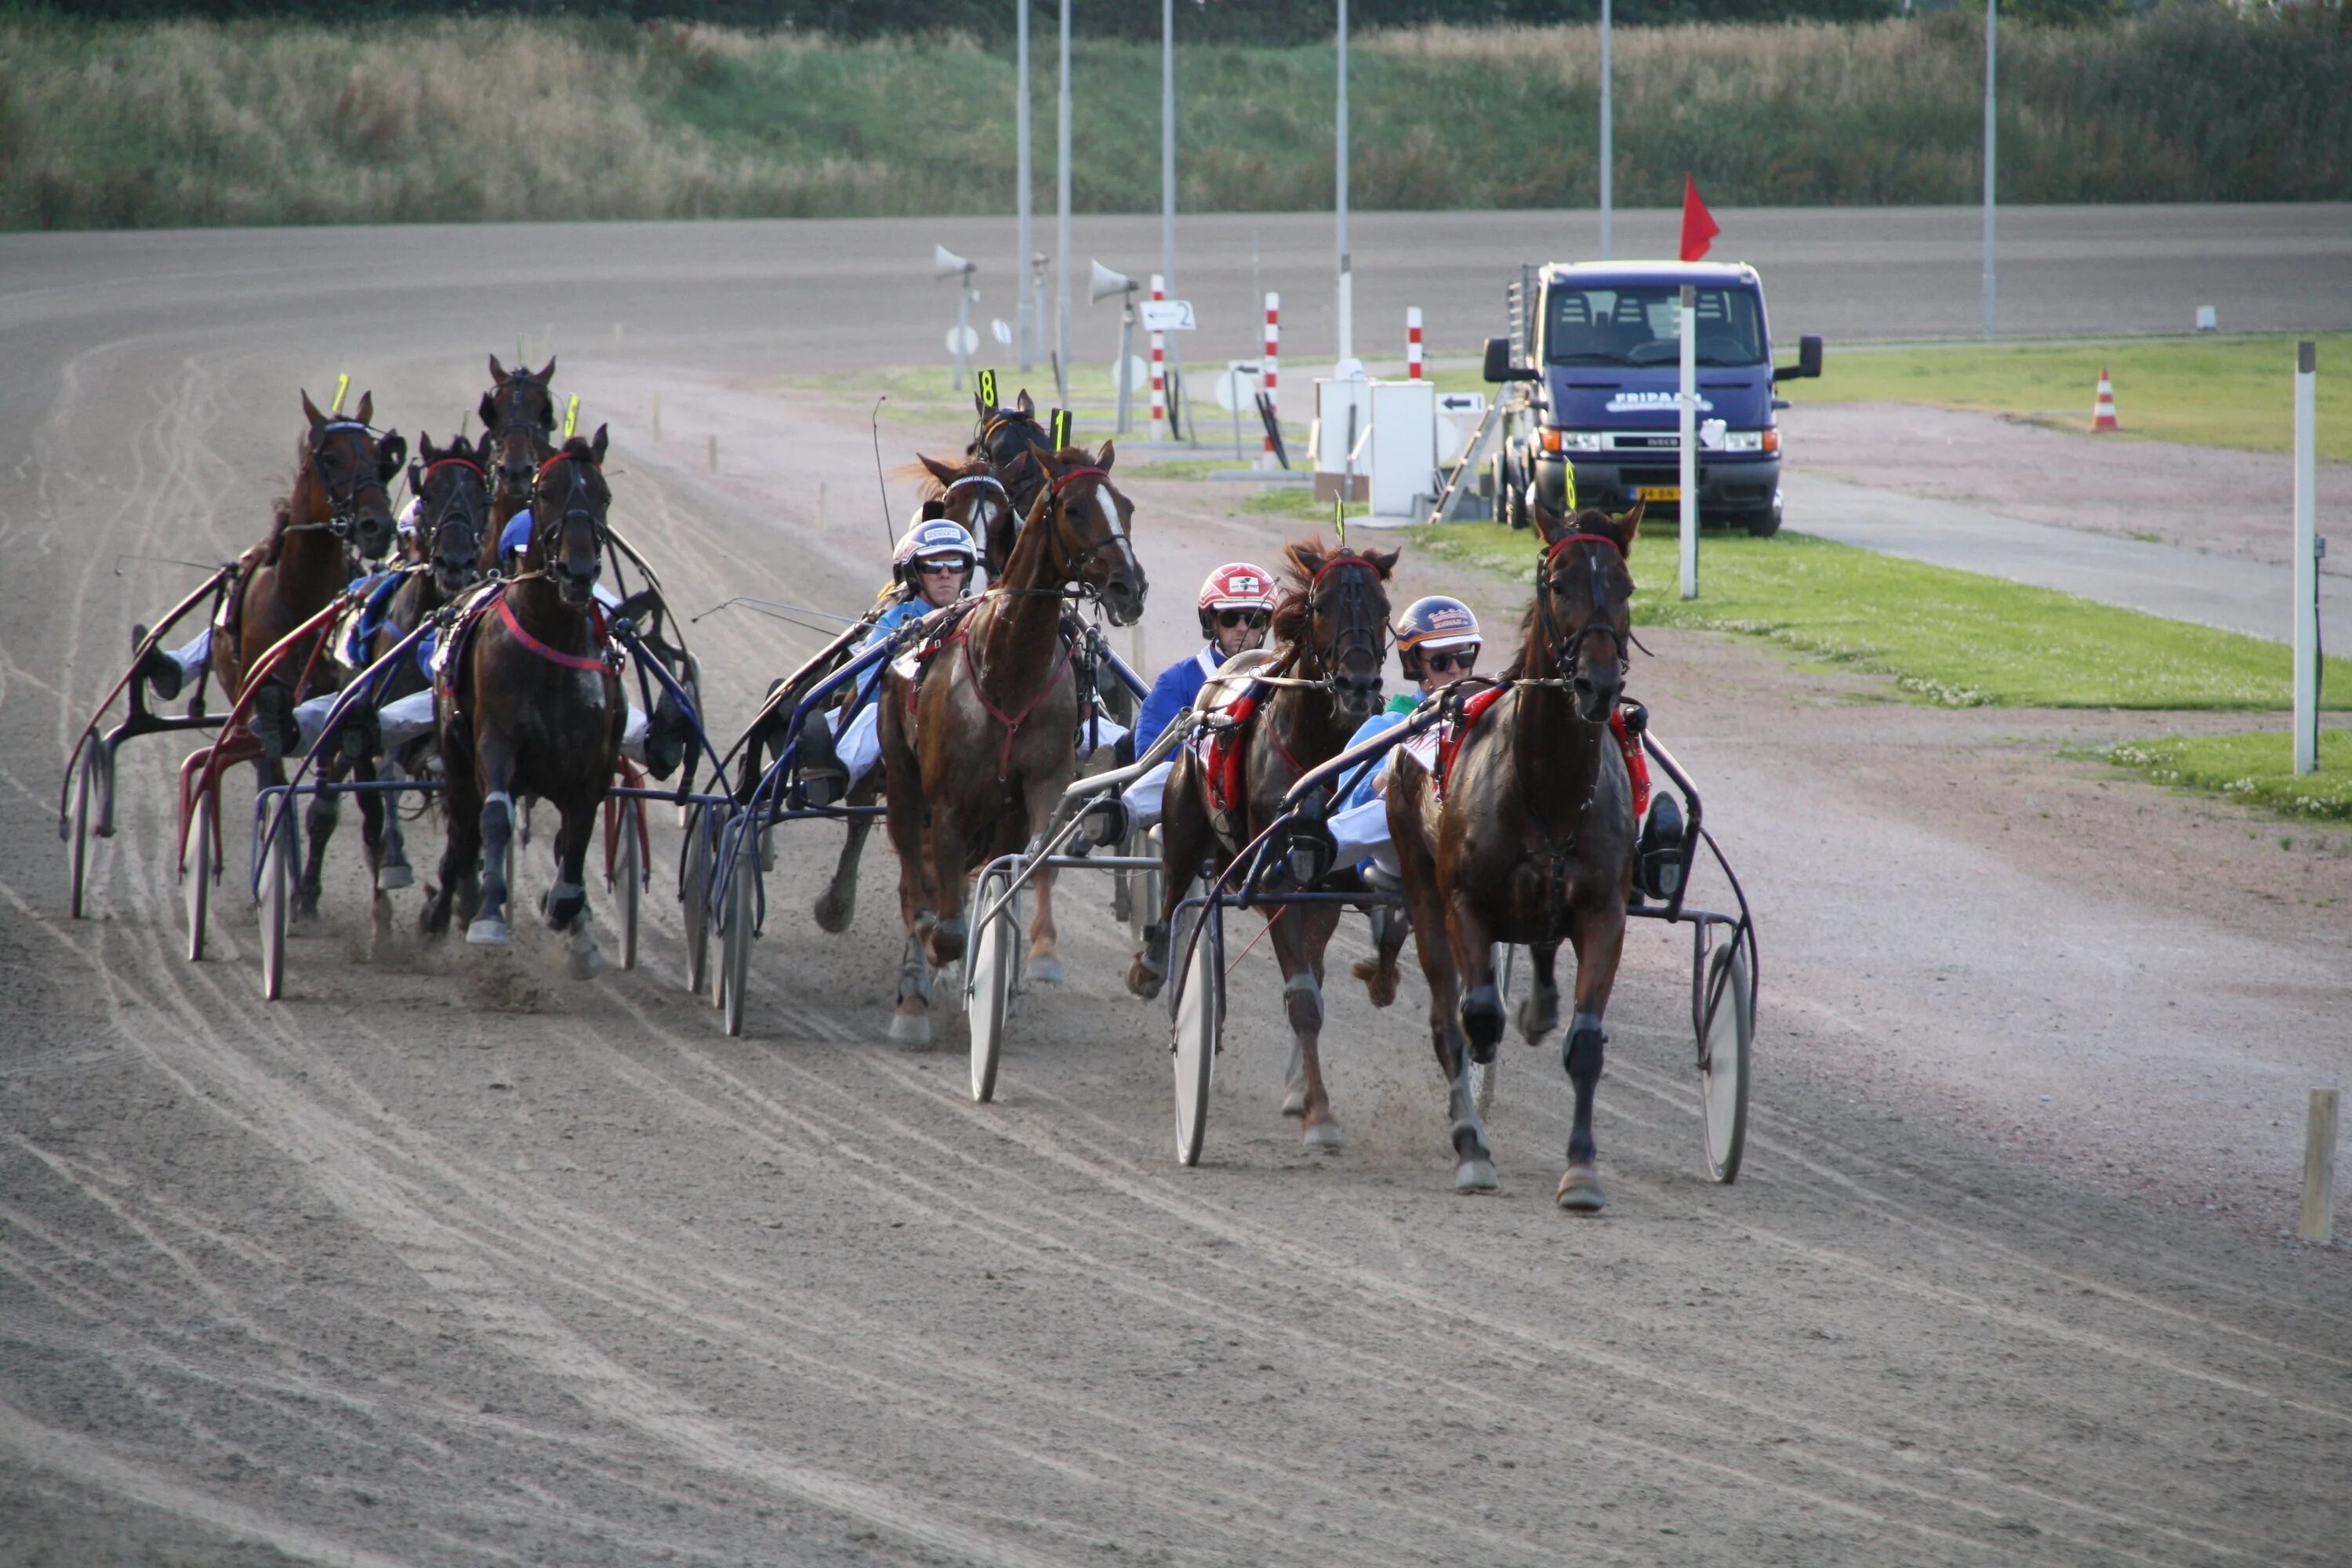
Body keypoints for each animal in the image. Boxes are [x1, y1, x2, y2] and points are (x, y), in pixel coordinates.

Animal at [212, 392, 405, 926]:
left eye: (378, 457)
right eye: (330, 457)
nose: (376, 527)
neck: (301, 603)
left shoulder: (337, 709)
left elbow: (323, 804)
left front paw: (309, 892)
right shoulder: (268, 708)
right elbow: (280, 792)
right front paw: (285, 884)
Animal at [426, 423, 626, 973]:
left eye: (604, 497)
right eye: (546, 492)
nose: (578, 572)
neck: (552, 637)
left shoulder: (594, 763)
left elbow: (577, 840)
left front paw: (568, 914)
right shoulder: (495, 740)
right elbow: (495, 817)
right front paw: (488, 917)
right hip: (455, 757)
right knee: (463, 831)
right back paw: (445, 912)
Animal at [880, 446, 1143, 1048]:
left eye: (1126, 506)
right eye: (1073, 509)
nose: (1129, 587)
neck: (1006, 668)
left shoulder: (1042, 784)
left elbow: (1036, 867)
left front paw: (1040, 956)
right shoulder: (948, 806)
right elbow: (944, 921)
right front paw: (942, 963)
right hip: (904, 788)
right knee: (914, 883)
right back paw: (913, 994)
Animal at [1124, 533, 1383, 1147]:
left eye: (1383, 607)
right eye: (1322, 607)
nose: (1360, 686)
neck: (1315, 754)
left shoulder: (1323, 887)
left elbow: (1310, 983)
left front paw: (1303, 1095)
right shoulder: (1274, 885)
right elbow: (1303, 999)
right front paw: (1319, 1114)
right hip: (1184, 823)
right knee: (1173, 891)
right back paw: (1152, 967)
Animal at [1383, 503, 1646, 1203]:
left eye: (1626, 586)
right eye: (1557, 584)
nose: (1597, 684)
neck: (1548, 787)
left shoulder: (1604, 912)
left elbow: (1585, 1041)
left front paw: (1581, 1170)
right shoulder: (1464, 904)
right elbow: (1474, 1018)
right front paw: (1472, 1144)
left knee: (1542, 949)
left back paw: (1539, 1007)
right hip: (1421, 887)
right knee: (1448, 1016)